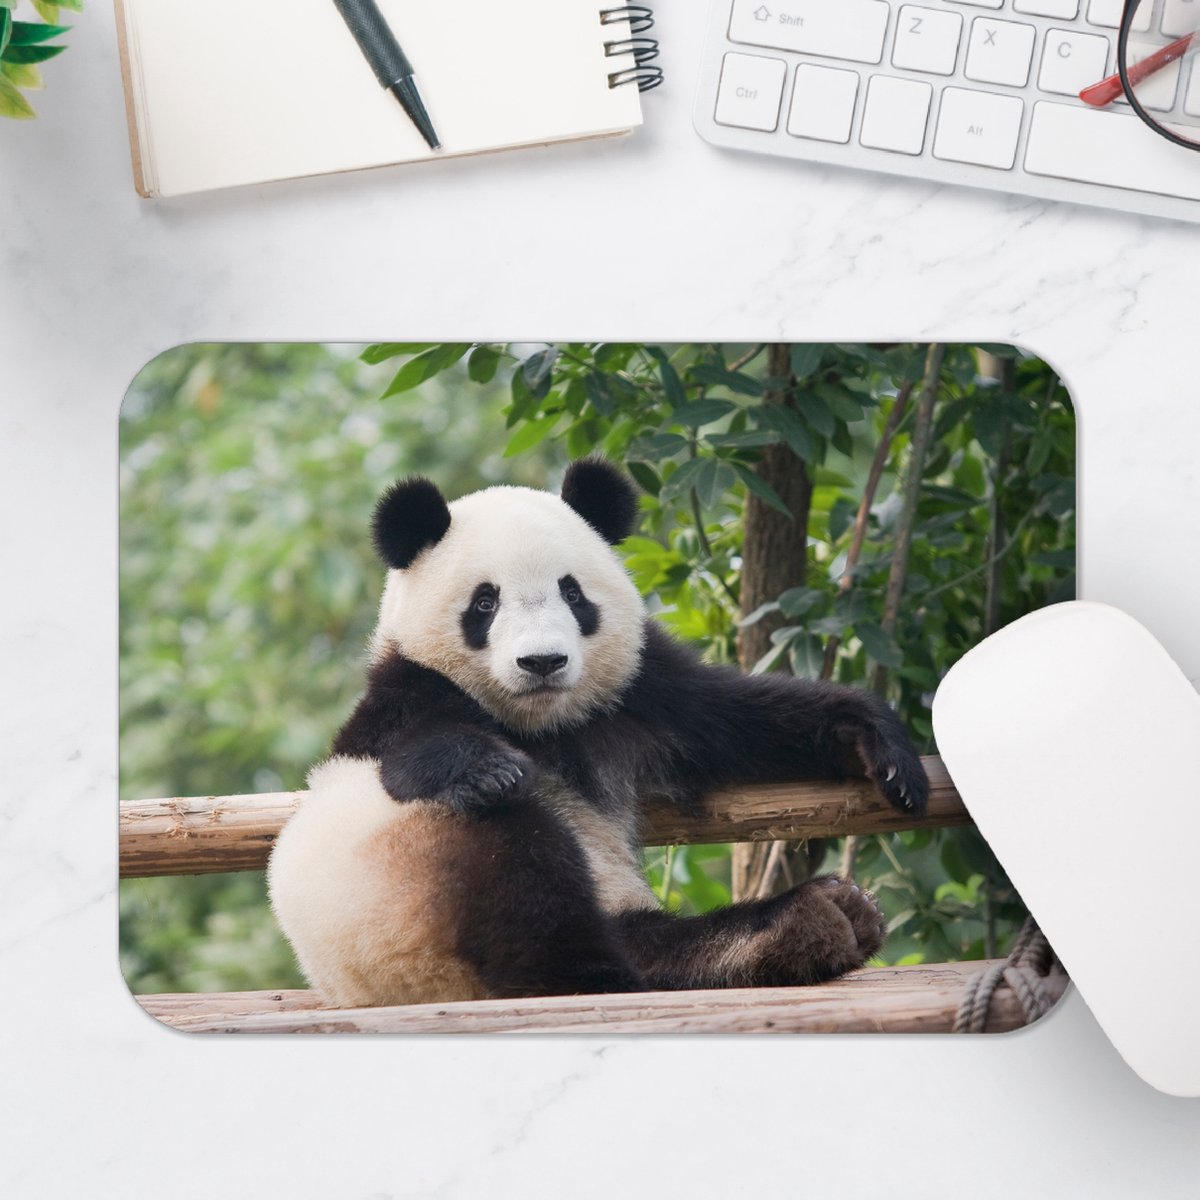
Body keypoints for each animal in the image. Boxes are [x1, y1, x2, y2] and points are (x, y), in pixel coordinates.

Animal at [267, 459, 930, 1008]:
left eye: (572, 592)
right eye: (485, 603)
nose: (542, 662)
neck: (540, 725)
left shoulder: (639, 693)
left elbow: (742, 720)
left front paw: (882, 750)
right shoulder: (405, 696)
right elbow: (413, 754)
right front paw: (492, 770)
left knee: (643, 933)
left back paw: (813, 922)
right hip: (411, 891)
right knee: (526, 883)